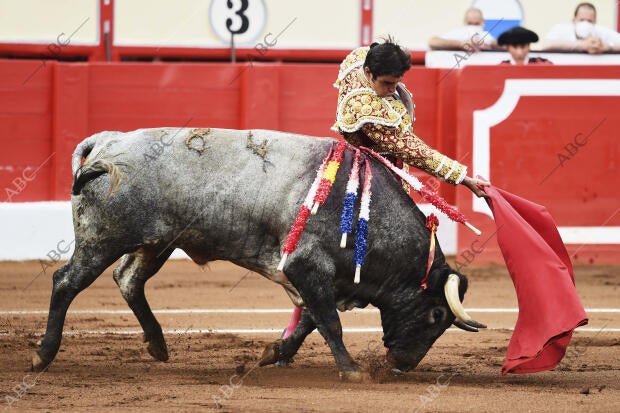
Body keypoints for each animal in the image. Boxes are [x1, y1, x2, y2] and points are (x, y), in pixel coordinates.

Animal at [31, 126, 484, 380]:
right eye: (437, 315)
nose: (404, 363)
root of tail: (107, 142)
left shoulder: (316, 280)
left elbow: (308, 324)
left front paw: (273, 354)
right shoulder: (307, 268)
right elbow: (330, 324)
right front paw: (353, 371)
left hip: (156, 242)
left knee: (128, 280)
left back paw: (158, 346)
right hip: (103, 238)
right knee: (66, 282)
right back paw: (42, 356)